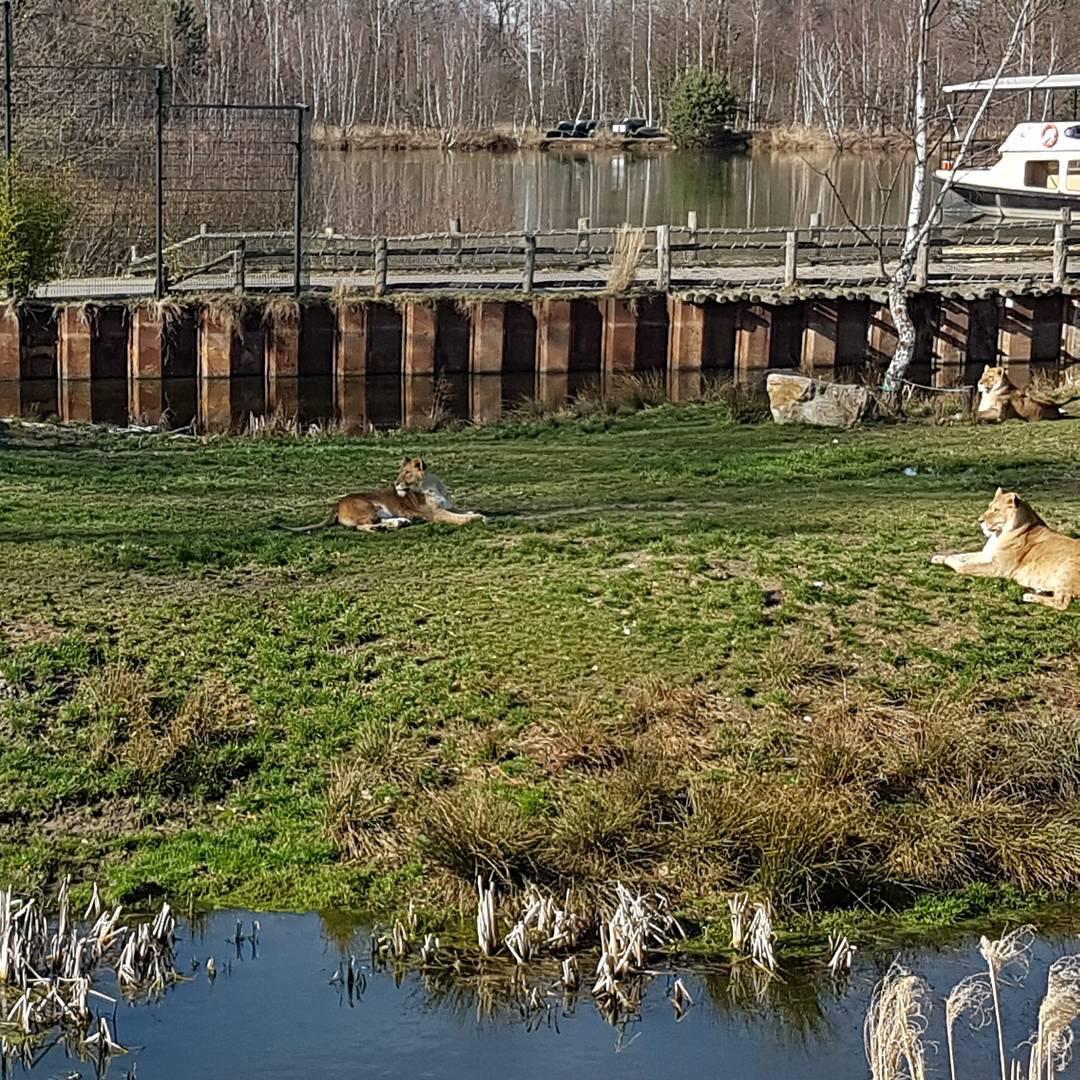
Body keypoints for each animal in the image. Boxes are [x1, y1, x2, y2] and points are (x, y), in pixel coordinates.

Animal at [280, 453, 483, 533]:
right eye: (400, 473)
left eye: (406, 473)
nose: (395, 483)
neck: (432, 485)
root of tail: (337, 503)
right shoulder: (436, 513)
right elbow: (459, 518)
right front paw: (476, 518)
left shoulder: (447, 506)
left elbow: (464, 511)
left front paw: (476, 513)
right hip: (369, 506)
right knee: (361, 526)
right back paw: (383, 528)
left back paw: (400, 522)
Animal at [928, 488, 1080, 609]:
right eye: (989, 506)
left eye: (996, 510)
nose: (979, 520)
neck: (998, 534)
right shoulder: (987, 554)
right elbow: (961, 555)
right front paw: (940, 557)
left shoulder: (997, 567)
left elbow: (964, 566)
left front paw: (950, 562)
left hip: (1068, 568)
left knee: (1063, 602)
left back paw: (1029, 596)